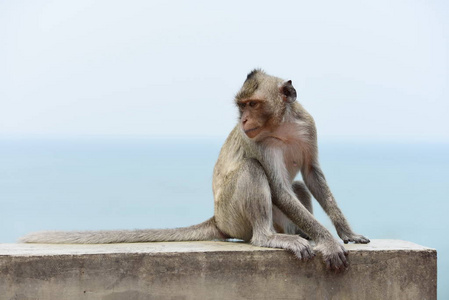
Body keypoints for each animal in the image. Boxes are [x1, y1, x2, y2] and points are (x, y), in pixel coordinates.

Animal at [20, 69, 368, 270]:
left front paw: (345, 233)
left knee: (297, 187)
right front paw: (329, 242)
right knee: (252, 170)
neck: (281, 126)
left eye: (253, 104)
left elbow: (311, 175)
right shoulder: (257, 142)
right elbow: (278, 187)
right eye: (241, 107)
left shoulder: (307, 126)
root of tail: (217, 219)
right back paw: (271, 237)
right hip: (233, 216)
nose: (243, 120)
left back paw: (299, 232)